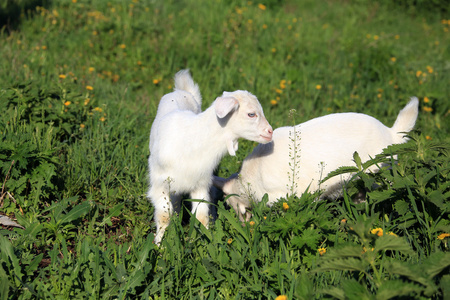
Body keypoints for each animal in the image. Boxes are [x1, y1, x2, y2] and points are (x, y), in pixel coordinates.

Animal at [149, 69, 272, 244]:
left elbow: (201, 217)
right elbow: (164, 216)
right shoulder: (160, 184)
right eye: (251, 114)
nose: (270, 132)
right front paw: (159, 245)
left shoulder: (200, 184)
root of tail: (182, 91)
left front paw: (206, 242)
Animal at [214, 97, 418, 221]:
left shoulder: (297, 194)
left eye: (230, 204)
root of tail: (391, 133)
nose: (243, 225)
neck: (251, 178)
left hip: (382, 175)